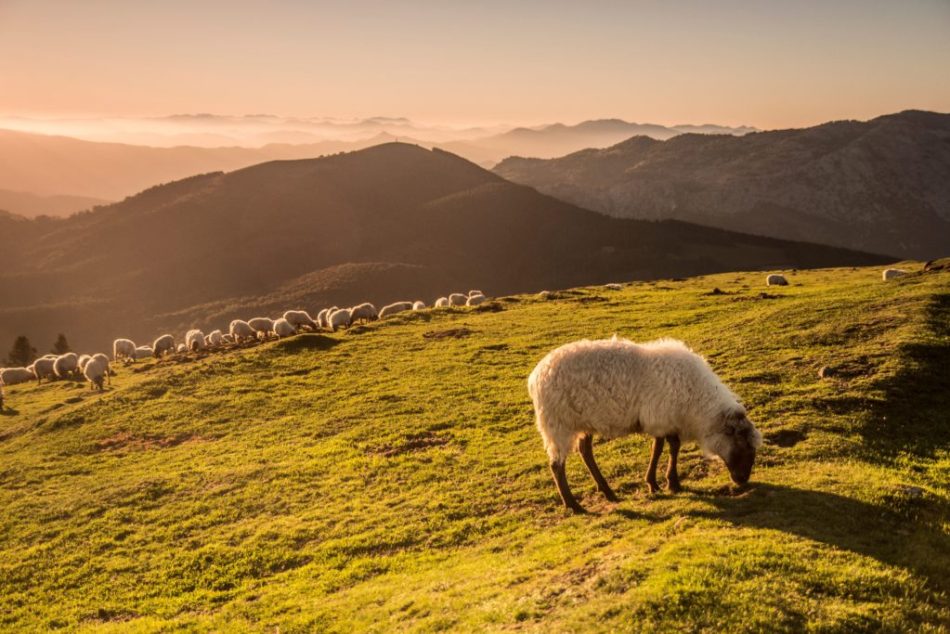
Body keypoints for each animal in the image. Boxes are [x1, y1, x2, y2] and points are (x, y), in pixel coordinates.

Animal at [528, 338, 768, 512]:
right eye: (743, 444)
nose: (743, 481)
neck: (697, 405)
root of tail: (536, 375)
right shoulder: (661, 417)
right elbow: (664, 447)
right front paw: (662, 483)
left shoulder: (666, 419)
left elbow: (667, 447)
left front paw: (665, 482)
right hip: (558, 423)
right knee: (557, 464)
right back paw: (573, 505)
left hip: (583, 422)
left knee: (585, 451)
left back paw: (608, 492)